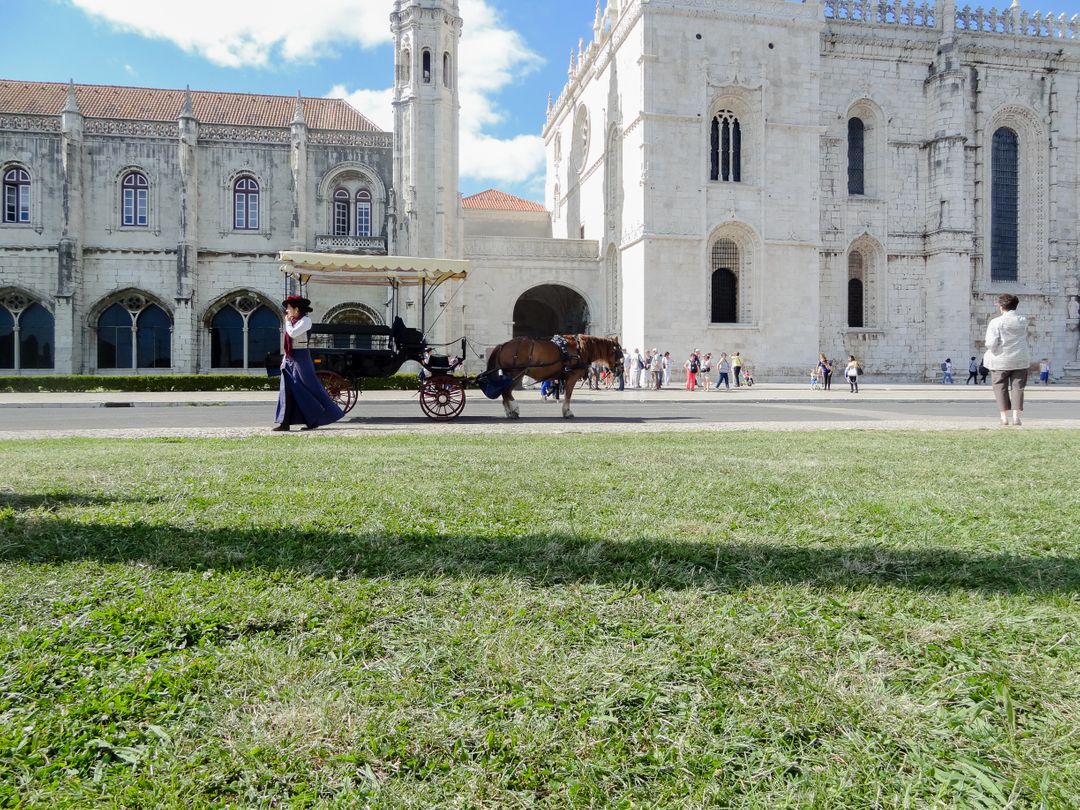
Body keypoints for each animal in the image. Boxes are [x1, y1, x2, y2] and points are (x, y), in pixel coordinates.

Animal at [490, 332, 626, 419]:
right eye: (619, 352)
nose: (621, 370)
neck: (579, 349)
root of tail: (503, 345)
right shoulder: (572, 377)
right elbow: (568, 395)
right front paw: (567, 412)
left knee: (505, 393)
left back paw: (509, 412)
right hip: (516, 374)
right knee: (507, 392)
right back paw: (514, 410)